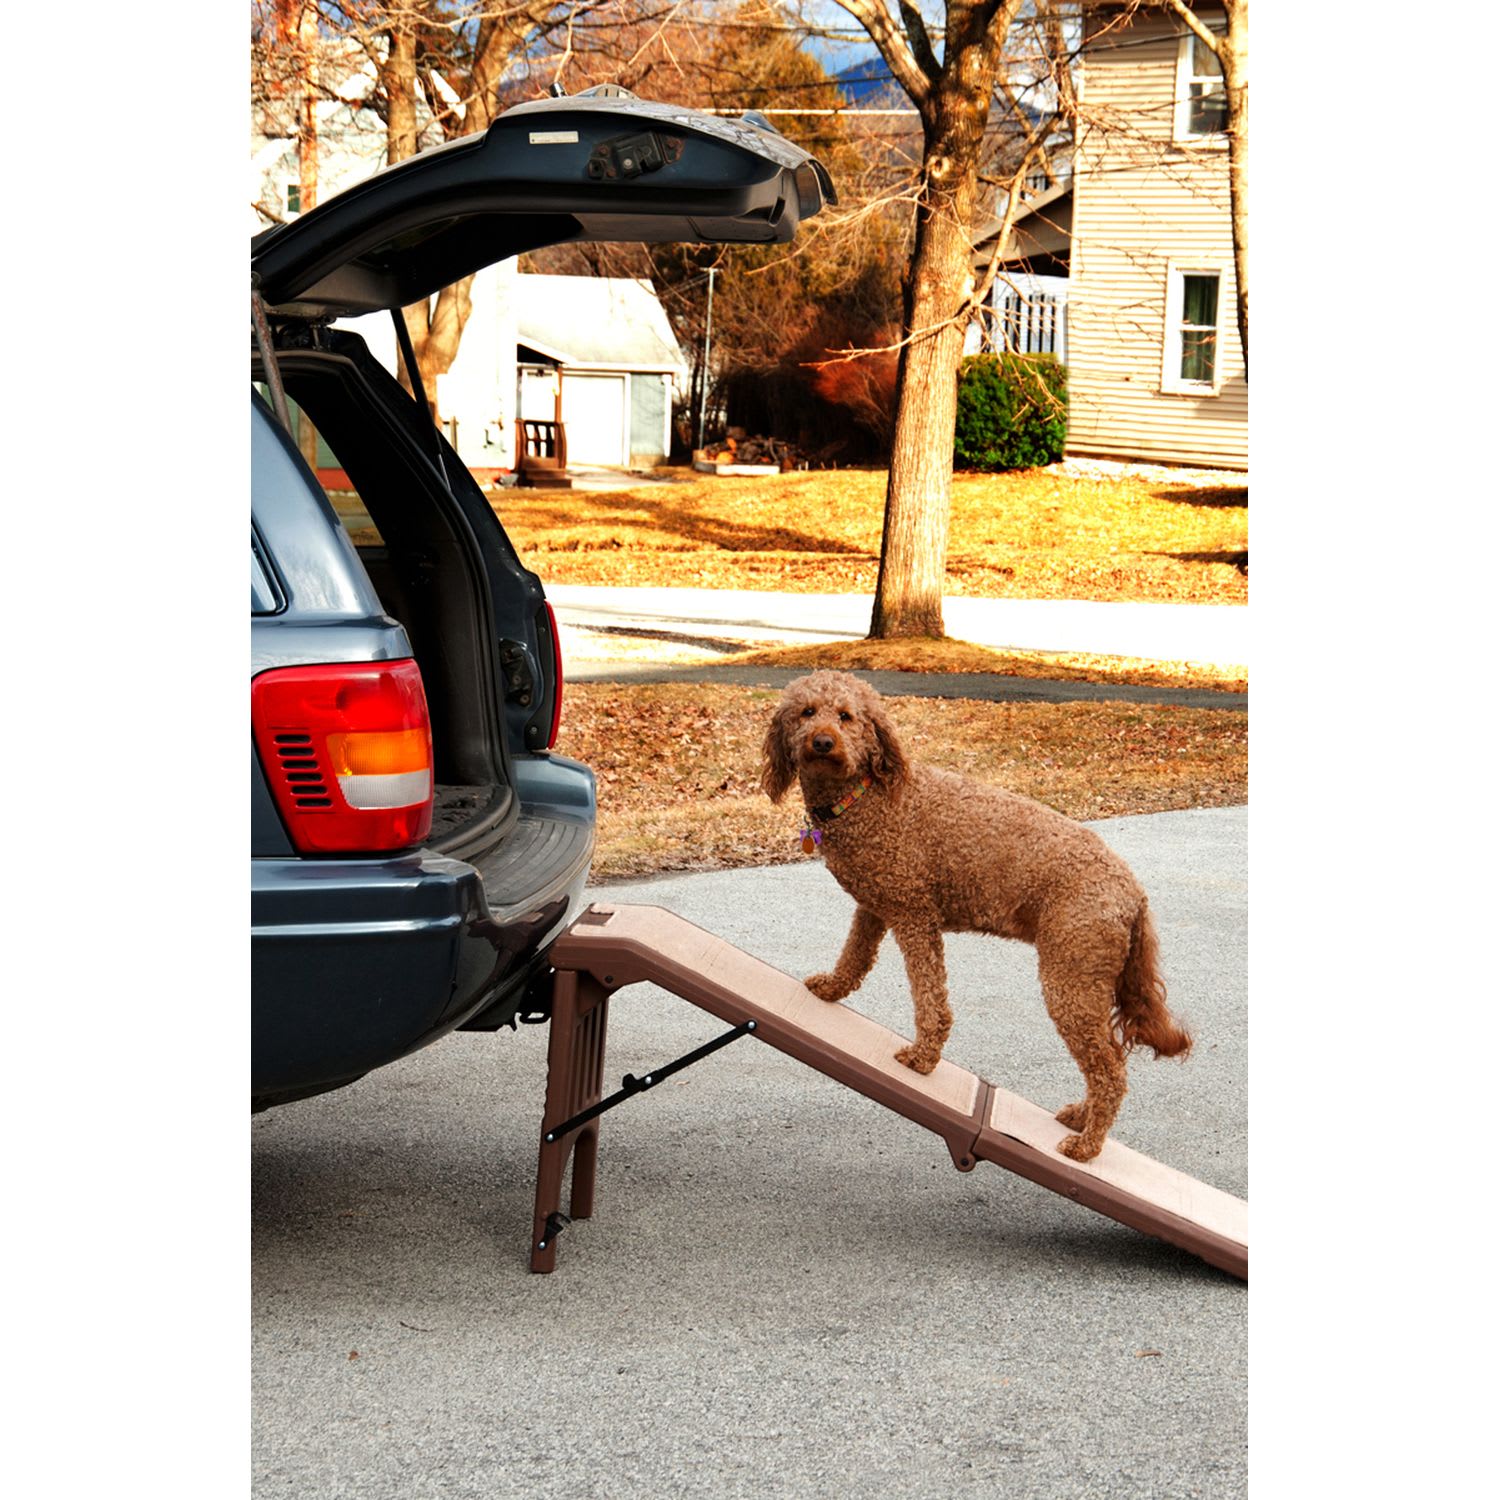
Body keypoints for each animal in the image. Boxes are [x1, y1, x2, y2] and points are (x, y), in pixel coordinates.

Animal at [768, 675, 1188, 1164]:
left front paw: (923, 1057)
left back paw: (1086, 1146)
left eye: (846, 716)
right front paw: (831, 989)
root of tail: (1133, 891)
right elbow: (854, 957)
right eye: (806, 712)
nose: (822, 742)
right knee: (1108, 1063)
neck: (867, 796)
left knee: (1110, 1070)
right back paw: (1081, 1119)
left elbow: (930, 999)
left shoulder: (914, 915)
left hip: (1071, 980)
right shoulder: (875, 907)